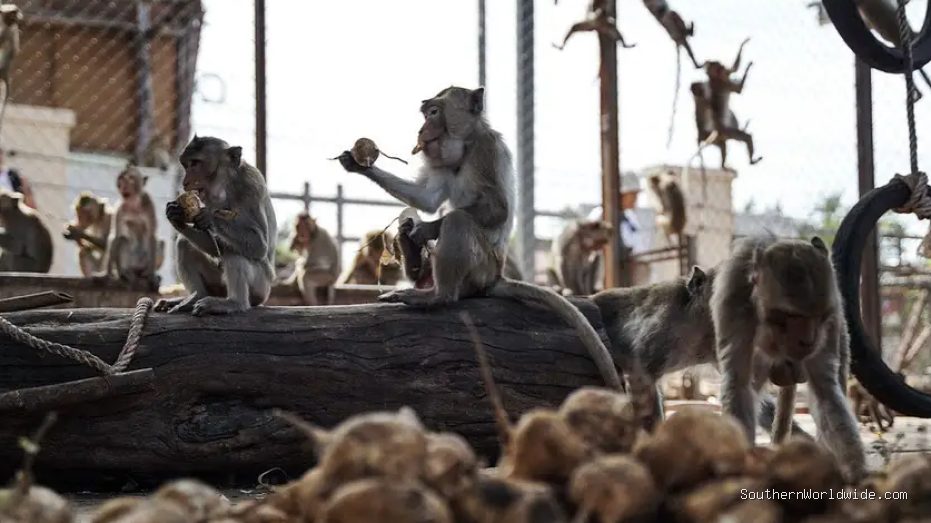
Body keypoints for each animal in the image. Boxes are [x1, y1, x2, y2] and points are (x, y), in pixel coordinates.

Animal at [154, 136, 277, 316]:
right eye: (186, 164)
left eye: (195, 163)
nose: (185, 181)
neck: (227, 184)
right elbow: (214, 247)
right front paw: (175, 215)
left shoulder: (252, 185)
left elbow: (260, 246)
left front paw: (210, 217)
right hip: (217, 287)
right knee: (184, 244)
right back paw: (195, 297)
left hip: (261, 288)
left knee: (235, 252)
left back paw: (235, 303)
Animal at [338, 86, 623, 391]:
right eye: (426, 114)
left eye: (434, 112)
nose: (422, 129)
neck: (465, 145)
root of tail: (495, 277)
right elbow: (426, 199)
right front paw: (359, 165)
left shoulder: (485, 150)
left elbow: (495, 208)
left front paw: (425, 230)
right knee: (418, 222)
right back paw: (411, 253)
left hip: (480, 268)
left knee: (458, 222)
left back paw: (437, 296)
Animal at [709, 235, 865, 481]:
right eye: (792, 316)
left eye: (819, 317)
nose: (808, 341)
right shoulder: (733, 301)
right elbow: (739, 383)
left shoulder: (833, 317)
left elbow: (825, 391)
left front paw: (856, 472)